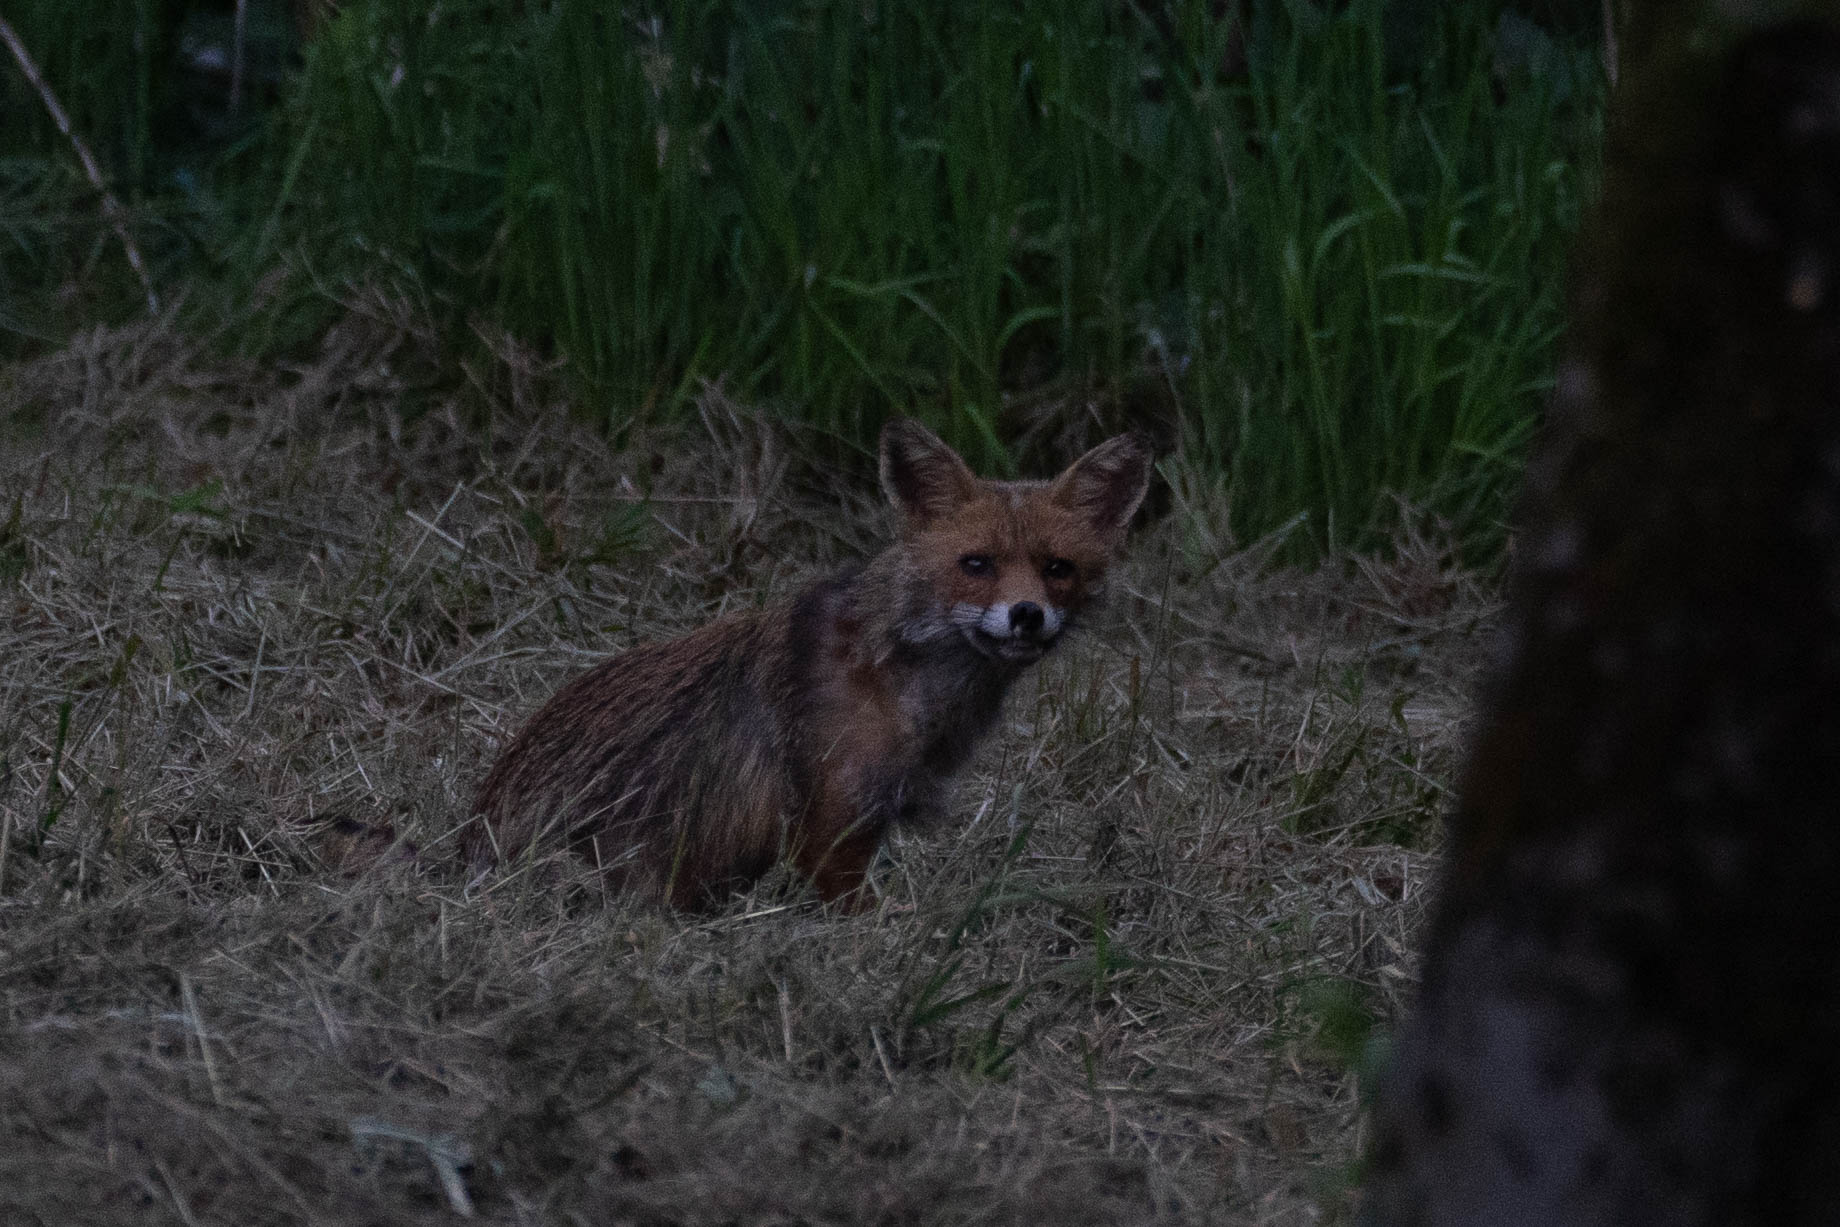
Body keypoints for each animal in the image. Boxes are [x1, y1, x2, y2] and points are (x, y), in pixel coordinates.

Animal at [468, 418, 1152, 910]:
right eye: (976, 564)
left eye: (1058, 569)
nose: (1027, 614)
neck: (904, 684)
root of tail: (469, 841)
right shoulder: (830, 830)